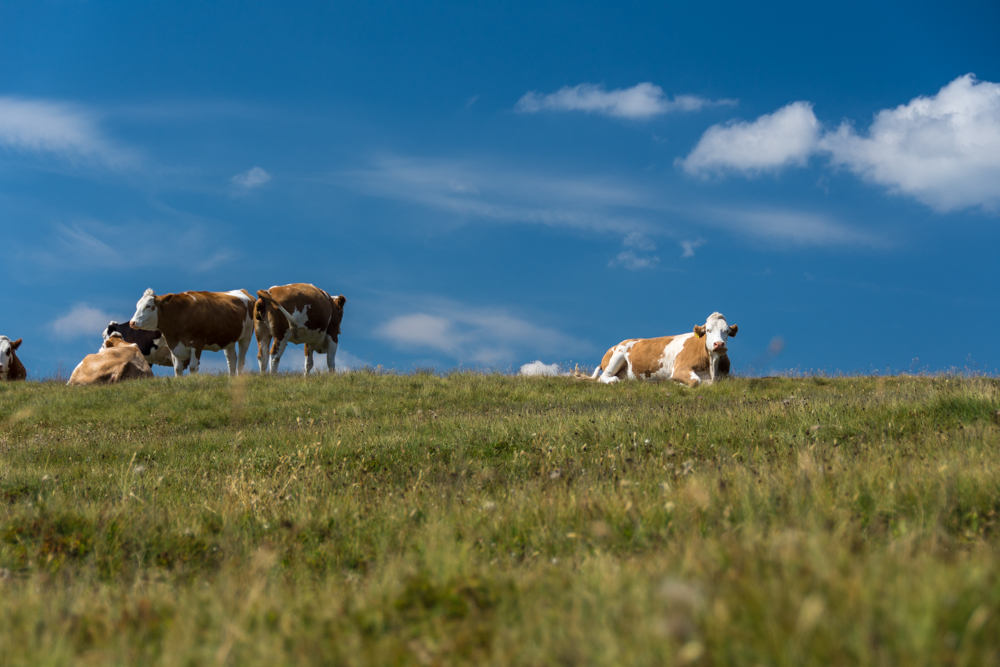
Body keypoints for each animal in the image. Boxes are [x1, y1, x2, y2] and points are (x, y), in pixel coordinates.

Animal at [588, 314, 740, 388]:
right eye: (708, 330)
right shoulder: (679, 369)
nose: (719, 344)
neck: (712, 368)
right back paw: (614, 380)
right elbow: (696, 381)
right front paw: (675, 384)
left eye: (727, 331)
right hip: (617, 356)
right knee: (604, 377)